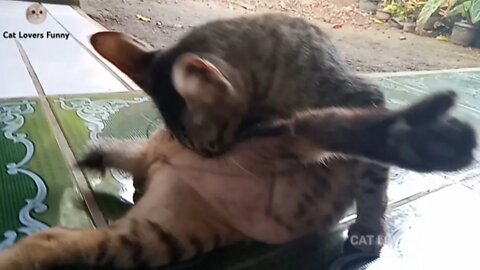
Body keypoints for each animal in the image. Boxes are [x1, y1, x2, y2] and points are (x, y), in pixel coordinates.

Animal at [0, 92, 474, 268]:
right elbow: (373, 188)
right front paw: (369, 233)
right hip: (284, 137)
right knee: (339, 127)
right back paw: (434, 140)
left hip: (158, 238)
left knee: (55, 241)